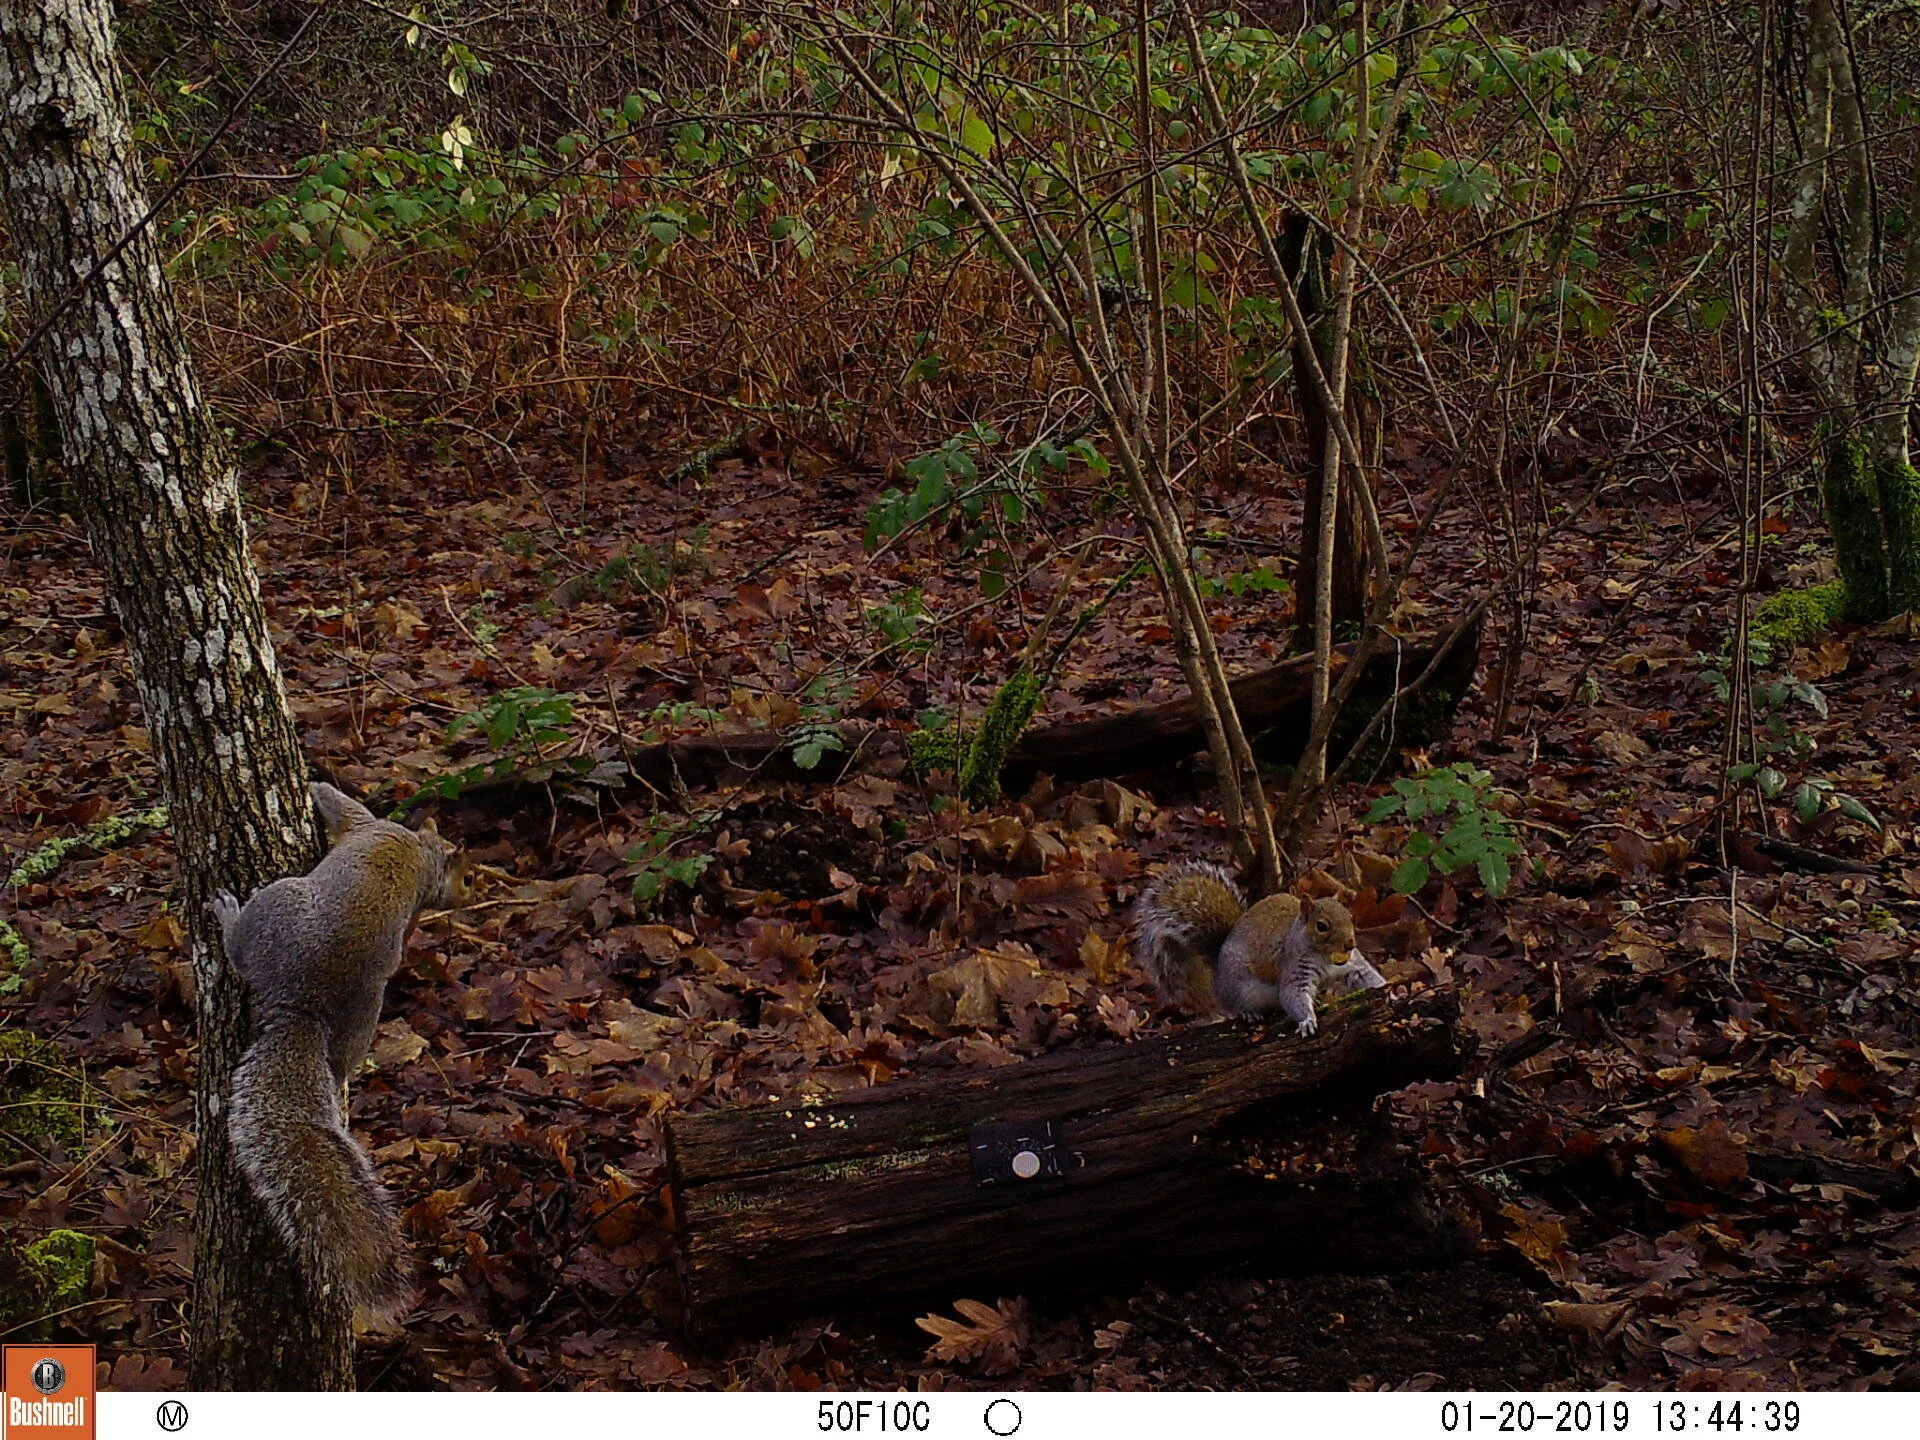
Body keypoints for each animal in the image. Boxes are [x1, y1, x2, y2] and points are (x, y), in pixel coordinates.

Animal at [211, 781, 461, 1320]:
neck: (419, 854)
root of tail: (302, 1006)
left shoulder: (365, 824)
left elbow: (339, 806)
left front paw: (316, 783)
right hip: (361, 1021)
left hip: (279, 904)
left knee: (240, 948)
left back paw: (226, 912)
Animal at [1131, 862, 1386, 1034]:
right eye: (1322, 926)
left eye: (1350, 917)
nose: (1350, 943)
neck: (1326, 956)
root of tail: (1217, 971)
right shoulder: (1293, 967)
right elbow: (1292, 994)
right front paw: (1307, 1021)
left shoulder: (1352, 964)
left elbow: (1366, 976)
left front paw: (1388, 987)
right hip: (1238, 986)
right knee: (1235, 1005)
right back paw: (1248, 1012)